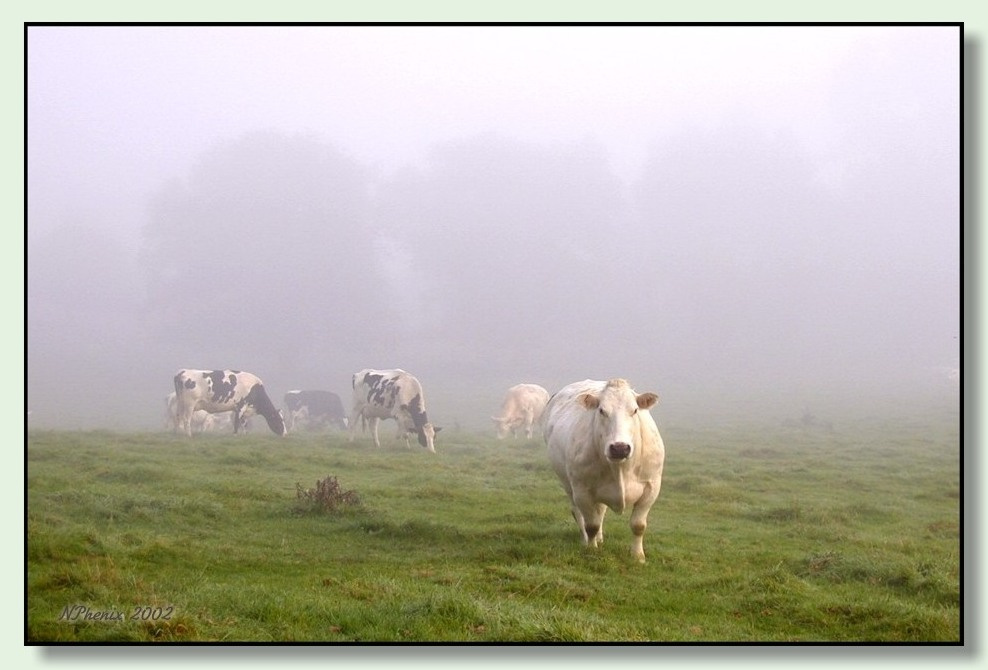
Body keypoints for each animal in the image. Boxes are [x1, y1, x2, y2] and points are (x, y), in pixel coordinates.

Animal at [543, 378, 665, 563]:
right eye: (601, 410)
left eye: (635, 410)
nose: (620, 448)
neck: (621, 468)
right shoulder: (582, 490)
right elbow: (591, 525)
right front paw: (592, 550)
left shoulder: (651, 487)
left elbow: (638, 525)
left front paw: (638, 556)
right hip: (569, 485)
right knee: (579, 513)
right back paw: (586, 540)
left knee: (600, 511)